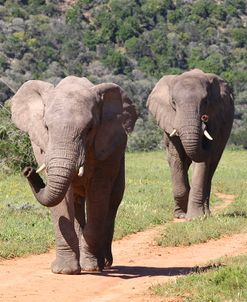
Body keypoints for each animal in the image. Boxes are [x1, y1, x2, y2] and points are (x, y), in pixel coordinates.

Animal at [11, 75, 137, 274]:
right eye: (46, 127)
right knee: (78, 202)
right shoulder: (42, 146)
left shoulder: (107, 149)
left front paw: (91, 267)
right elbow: (62, 200)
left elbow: (98, 194)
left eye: (89, 129)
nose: (27, 170)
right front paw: (64, 271)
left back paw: (104, 263)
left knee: (112, 202)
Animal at [147, 68, 233, 219]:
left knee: (211, 168)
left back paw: (206, 213)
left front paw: (195, 218)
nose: (204, 118)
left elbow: (202, 163)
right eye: (173, 102)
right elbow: (176, 157)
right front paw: (181, 216)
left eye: (205, 101)